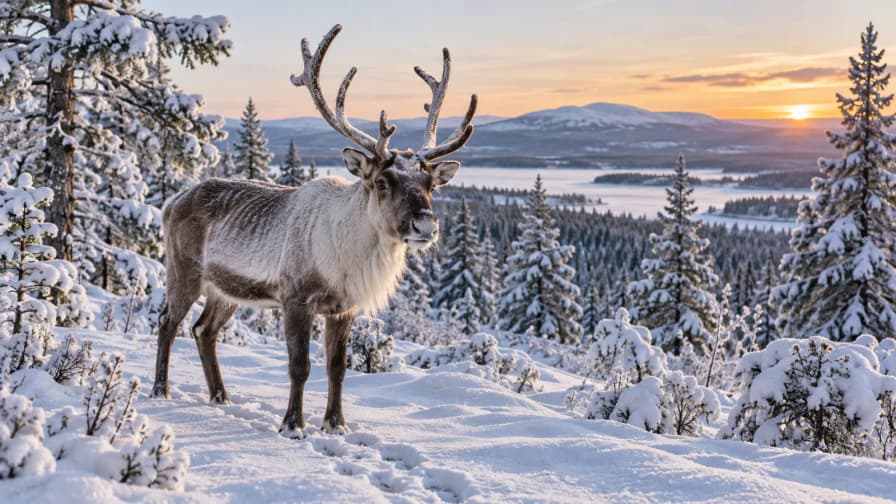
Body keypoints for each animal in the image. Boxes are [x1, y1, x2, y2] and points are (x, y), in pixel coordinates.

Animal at [150, 24, 477, 438]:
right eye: (382, 182)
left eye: (430, 184)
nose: (426, 225)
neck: (348, 258)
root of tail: (171, 202)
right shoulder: (295, 298)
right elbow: (300, 366)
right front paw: (293, 425)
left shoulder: (344, 307)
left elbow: (337, 368)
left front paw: (336, 424)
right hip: (183, 271)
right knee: (167, 323)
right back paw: (160, 390)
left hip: (224, 289)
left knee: (204, 331)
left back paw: (220, 397)